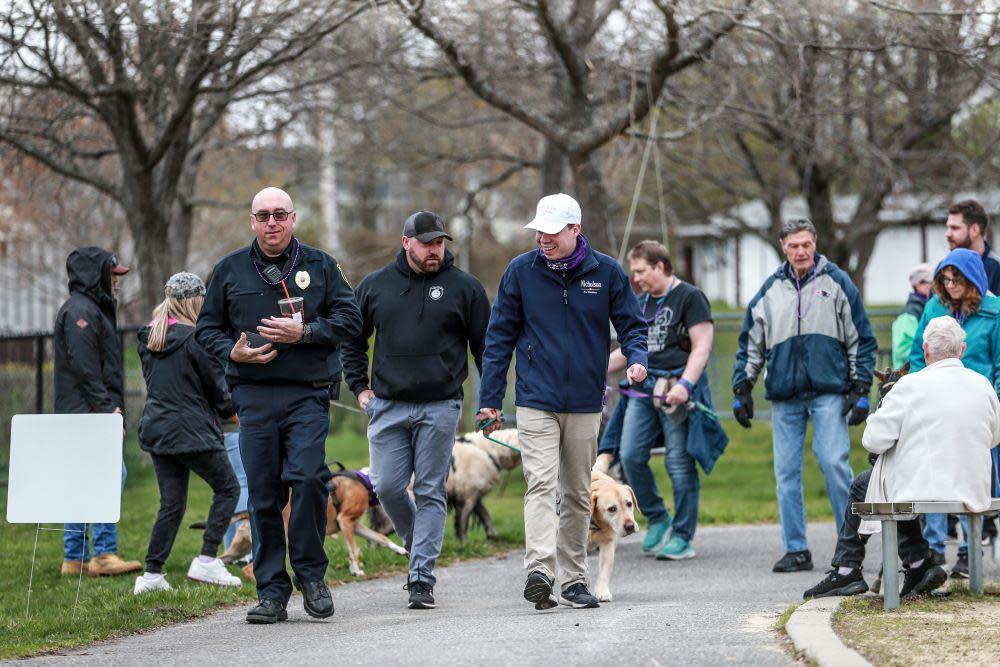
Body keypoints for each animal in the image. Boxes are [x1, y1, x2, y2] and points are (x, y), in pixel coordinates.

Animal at [588, 468, 636, 604]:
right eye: (612, 509)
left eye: (629, 504)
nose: (630, 526)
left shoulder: (607, 545)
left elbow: (604, 571)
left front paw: (602, 592)